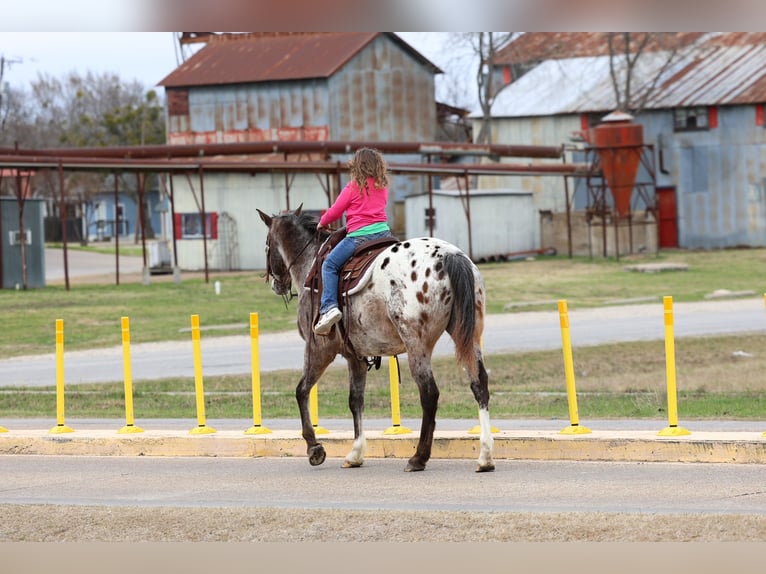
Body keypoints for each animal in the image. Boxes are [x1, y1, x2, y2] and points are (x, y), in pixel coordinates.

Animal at [257, 205, 494, 472]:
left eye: (267, 245)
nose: (276, 285)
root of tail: (449, 256)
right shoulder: (356, 356)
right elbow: (355, 400)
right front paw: (355, 453)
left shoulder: (319, 348)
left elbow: (302, 391)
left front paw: (314, 447)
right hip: (469, 337)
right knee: (479, 384)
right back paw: (485, 456)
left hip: (417, 346)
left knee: (429, 393)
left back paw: (419, 457)